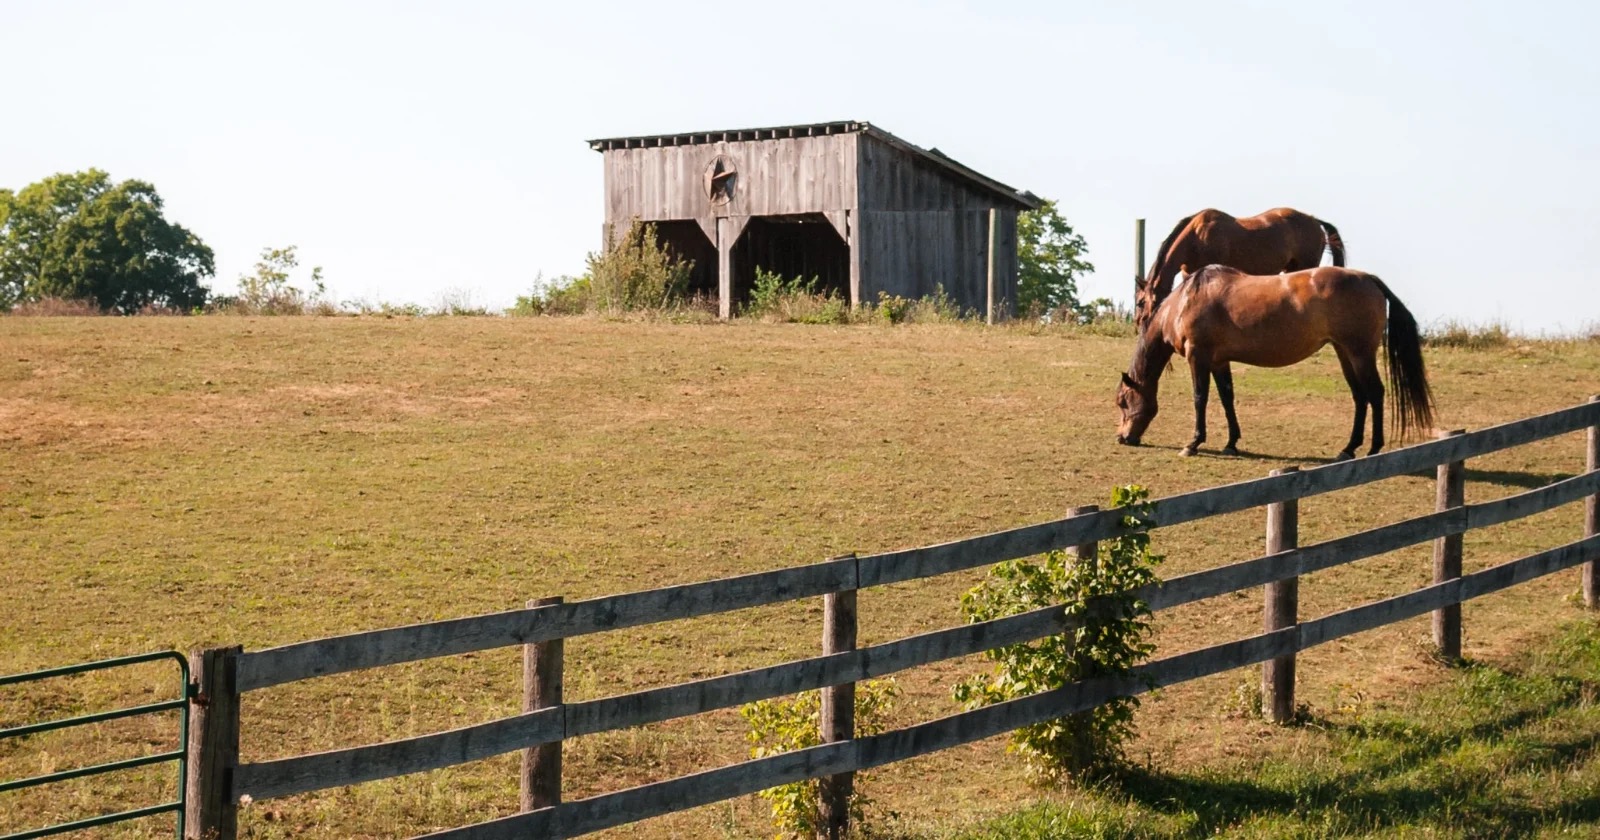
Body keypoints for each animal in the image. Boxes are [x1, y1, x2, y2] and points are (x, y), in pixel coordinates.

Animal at [1115, 265, 1434, 461]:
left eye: (1122, 401)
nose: (1122, 438)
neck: (1184, 301)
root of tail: (1369, 279)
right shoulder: (1219, 362)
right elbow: (1227, 398)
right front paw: (1231, 443)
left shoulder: (1199, 358)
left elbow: (1200, 399)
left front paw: (1193, 443)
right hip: (1345, 353)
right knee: (1360, 396)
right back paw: (1348, 449)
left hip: (1360, 353)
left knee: (1375, 394)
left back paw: (1373, 449)